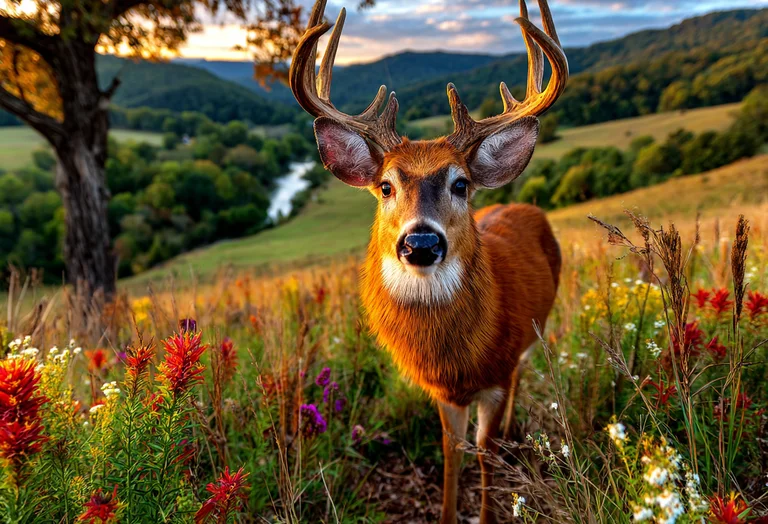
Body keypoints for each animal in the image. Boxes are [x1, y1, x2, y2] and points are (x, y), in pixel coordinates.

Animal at [290, 0, 567, 522]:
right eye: (385, 186)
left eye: (461, 184)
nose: (420, 243)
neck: (457, 357)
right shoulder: (443, 393)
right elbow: (451, 451)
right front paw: (447, 512)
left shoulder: (495, 378)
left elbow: (485, 450)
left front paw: (486, 512)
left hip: (536, 330)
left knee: (523, 373)